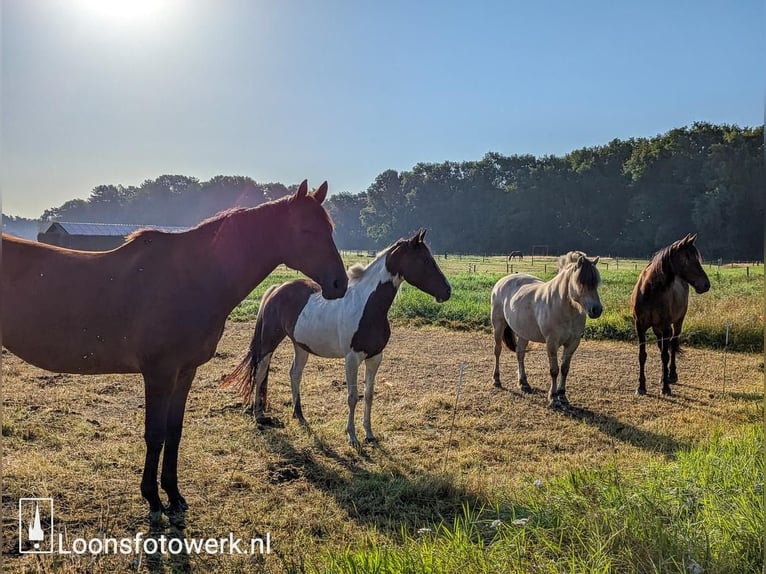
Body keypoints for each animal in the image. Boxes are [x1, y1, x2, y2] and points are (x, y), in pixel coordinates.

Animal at [0, 181, 348, 520]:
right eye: (306, 229)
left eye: (330, 228)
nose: (339, 284)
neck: (192, 276)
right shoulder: (159, 374)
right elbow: (154, 434)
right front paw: (153, 500)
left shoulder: (184, 372)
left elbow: (174, 431)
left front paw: (174, 495)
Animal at [222, 232, 450, 448]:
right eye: (424, 260)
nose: (447, 291)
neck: (367, 307)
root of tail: (277, 288)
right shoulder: (352, 358)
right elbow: (352, 397)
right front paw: (352, 436)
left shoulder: (375, 357)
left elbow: (369, 395)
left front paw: (369, 434)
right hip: (270, 341)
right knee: (261, 371)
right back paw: (259, 415)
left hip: (301, 346)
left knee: (294, 374)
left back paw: (299, 414)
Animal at [492, 252, 608, 410]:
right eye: (581, 282)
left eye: (596, 283)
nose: (597, 310)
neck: (564, 307)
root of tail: (502, 281)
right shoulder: (551, 343)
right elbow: (554, 370)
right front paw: (553, 398)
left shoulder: (573, 343)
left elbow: (564, 369)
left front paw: (563, 396)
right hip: (498, 325)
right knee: (497, 350)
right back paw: (497, 380)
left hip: (523, 333)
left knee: (520, 354)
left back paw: (524, 383)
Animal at [632, 234, 712, 396]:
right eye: (688, 258)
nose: (706, 285)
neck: (650, 291)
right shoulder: (640, 327)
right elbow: (642, 355)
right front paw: (641, 386)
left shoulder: (665, 327)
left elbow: (665, 355)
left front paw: (666, 388)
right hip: (657, 328)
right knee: (663, 346)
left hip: (677, 323)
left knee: (673, 346)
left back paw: (671, 375)